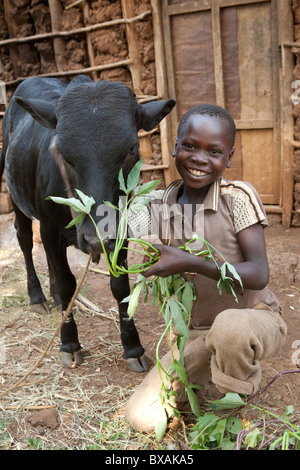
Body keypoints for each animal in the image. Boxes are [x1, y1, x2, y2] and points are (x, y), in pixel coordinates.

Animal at [0, 76, 175, 370]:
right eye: (61, 152)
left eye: (131, 148)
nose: (95, 239)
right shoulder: (48, 229)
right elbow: (68, 282)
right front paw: (69, 343)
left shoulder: (120, 229)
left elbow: (120, 286)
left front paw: (132, 347)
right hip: (16, 195)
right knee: (25, 240)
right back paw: (38, 296)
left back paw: (54, 296)